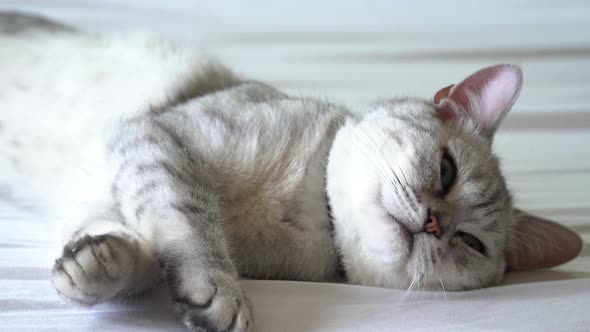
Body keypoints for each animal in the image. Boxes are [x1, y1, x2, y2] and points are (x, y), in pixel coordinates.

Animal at [0, 12, 584, 332]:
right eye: (446, 172)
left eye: (472, 243)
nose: (435, 224)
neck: (304, 212)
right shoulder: (160, 140)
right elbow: (188, 224)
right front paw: (219, 293)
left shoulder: (120, 183)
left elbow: (140, 252)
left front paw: (93, 267)